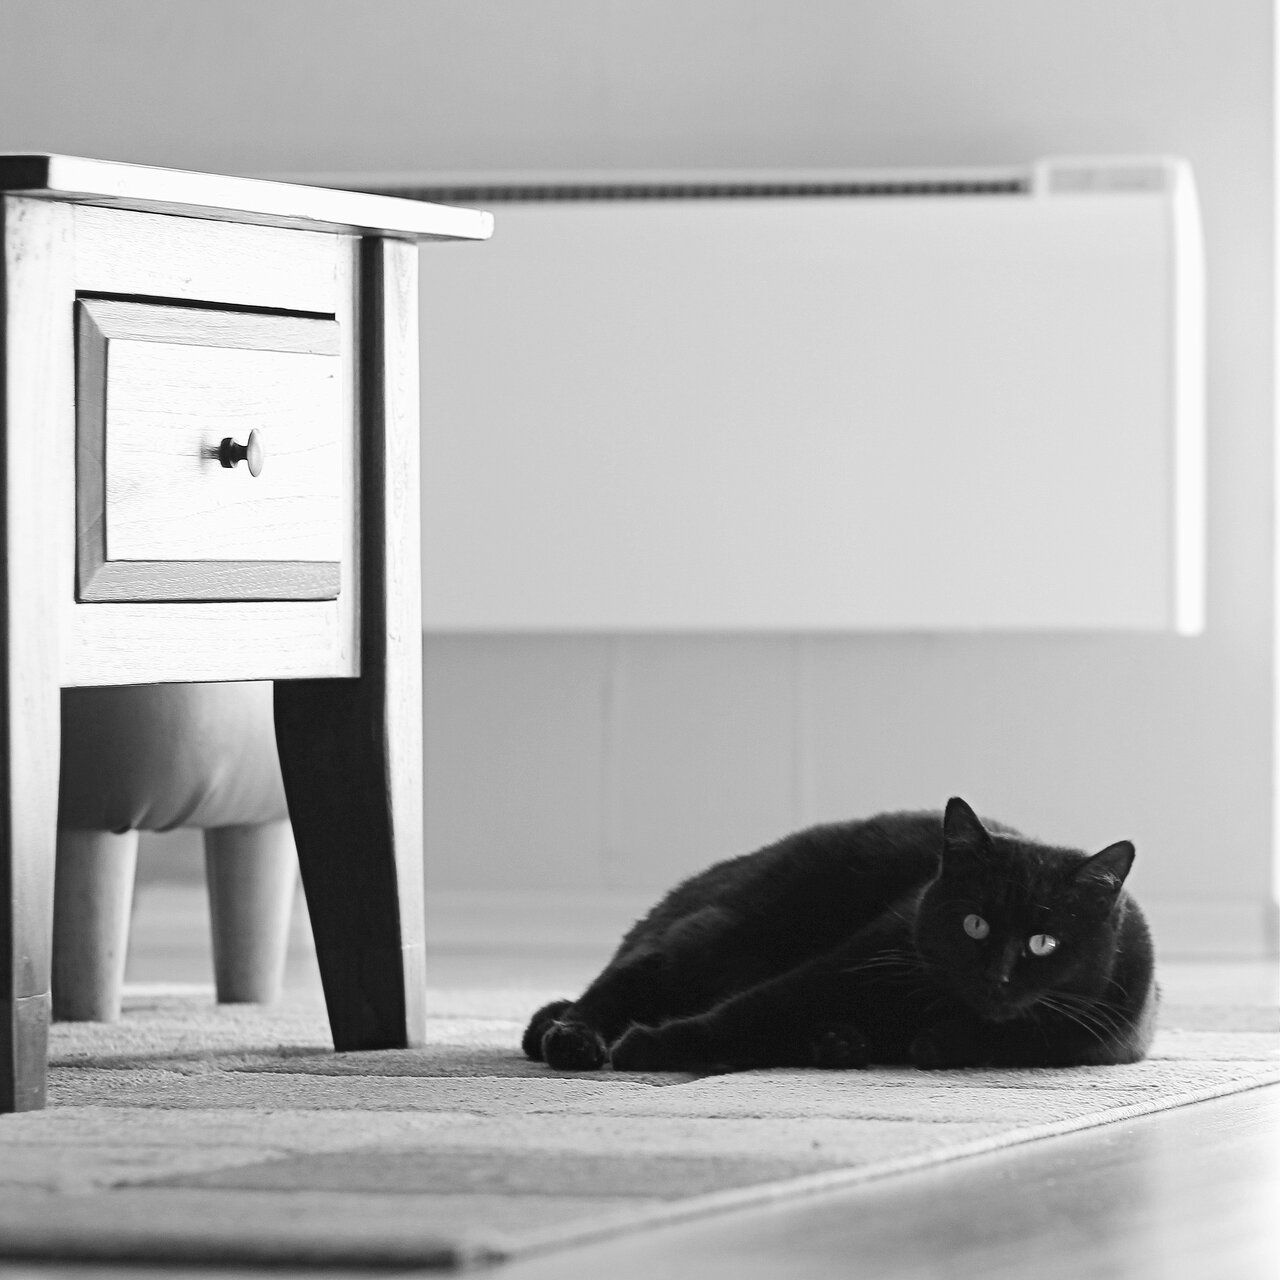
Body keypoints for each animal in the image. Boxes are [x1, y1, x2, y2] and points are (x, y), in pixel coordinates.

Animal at [523, 797, 1157, 1073]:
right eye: (974, 924)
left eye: (1043, 943)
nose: (995, 976)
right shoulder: (855, 960)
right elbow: (754, 1008)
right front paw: (652, 1046)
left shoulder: (1098, 1041)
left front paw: (935, 1042)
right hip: (725, 930)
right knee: (616, 986)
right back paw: (576, 1040)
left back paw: (839, 1044)